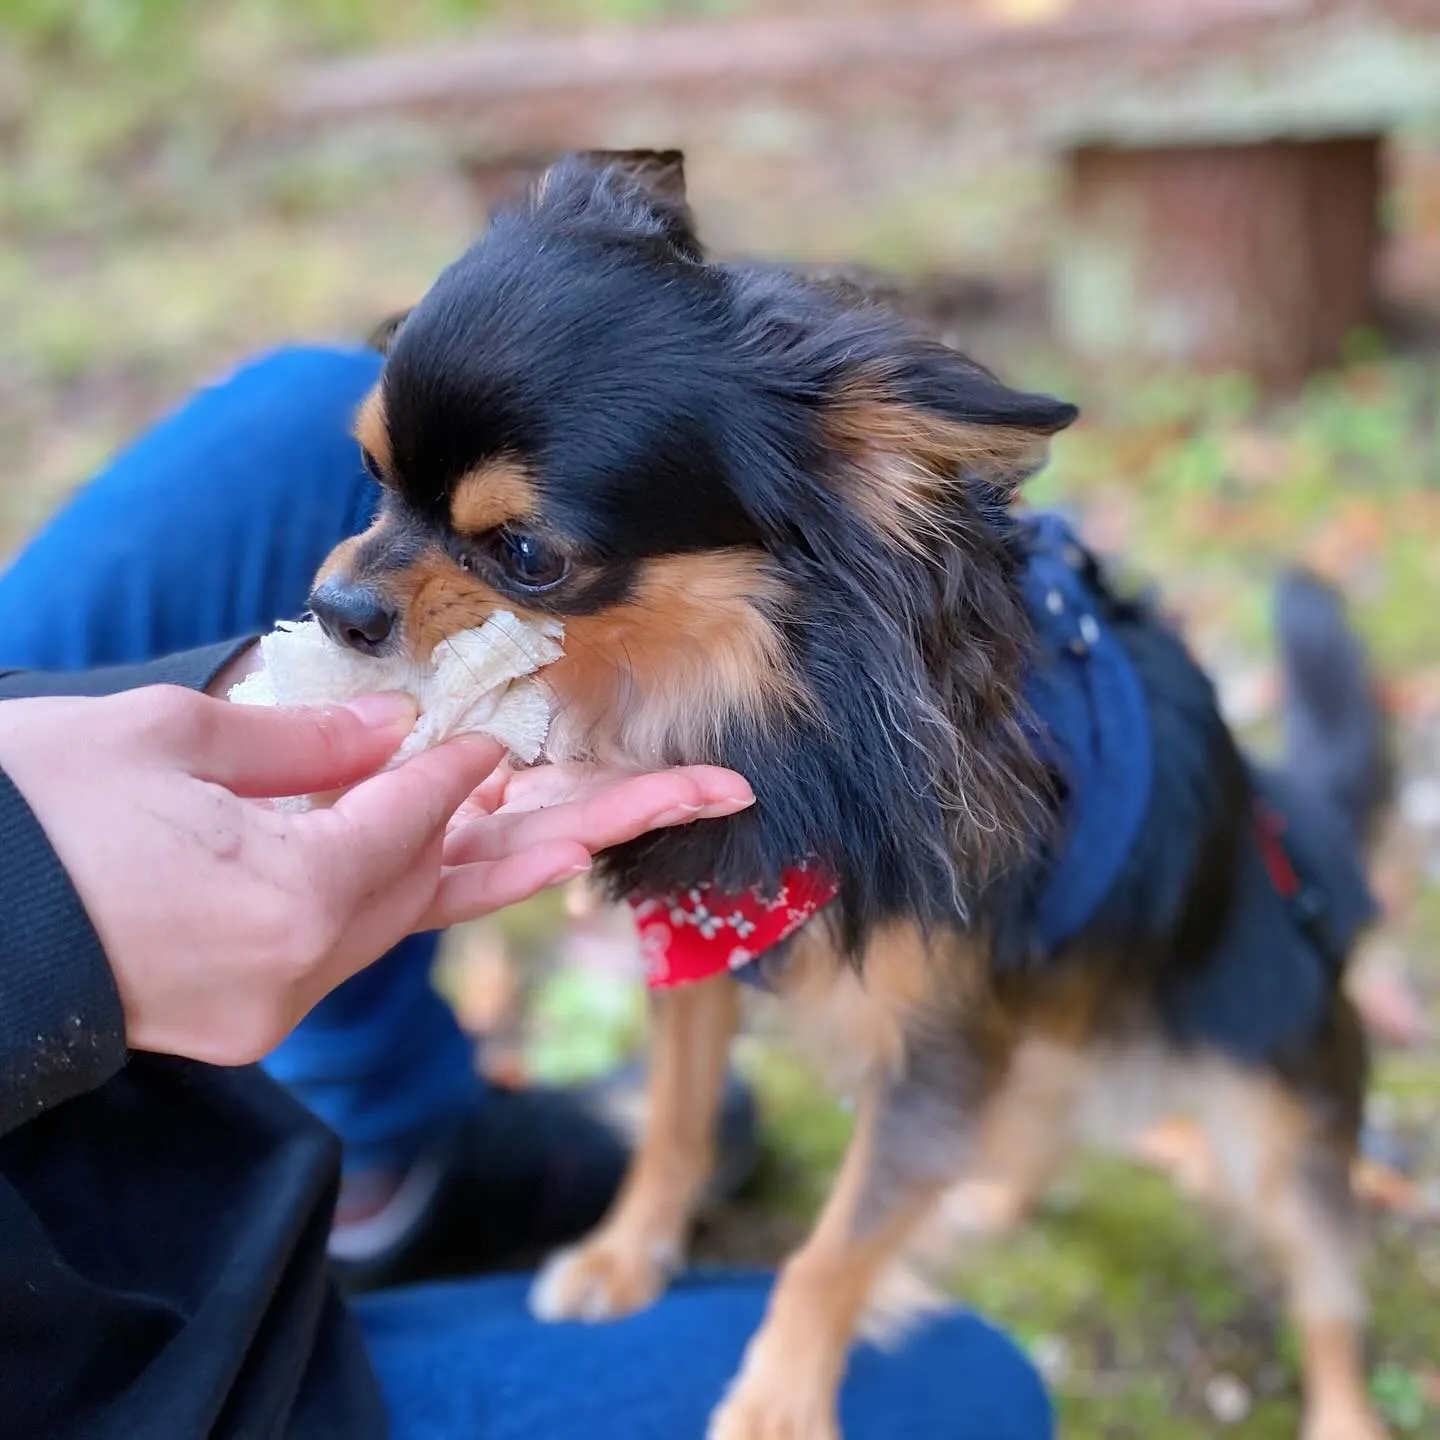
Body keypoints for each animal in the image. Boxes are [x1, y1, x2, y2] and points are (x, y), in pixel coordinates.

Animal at [312, 149, 1393, 1440]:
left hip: (1272, 1116)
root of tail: (1293, 844)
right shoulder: (704, 936)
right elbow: (675, 1125)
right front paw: (628, 1255)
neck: (761, 695)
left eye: (527, 556)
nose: (333, 607)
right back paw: (984, 1197)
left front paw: (780, 1394)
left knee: (1327, 1290)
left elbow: (835, 1248)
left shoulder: (936, 1045)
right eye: (370, 475)